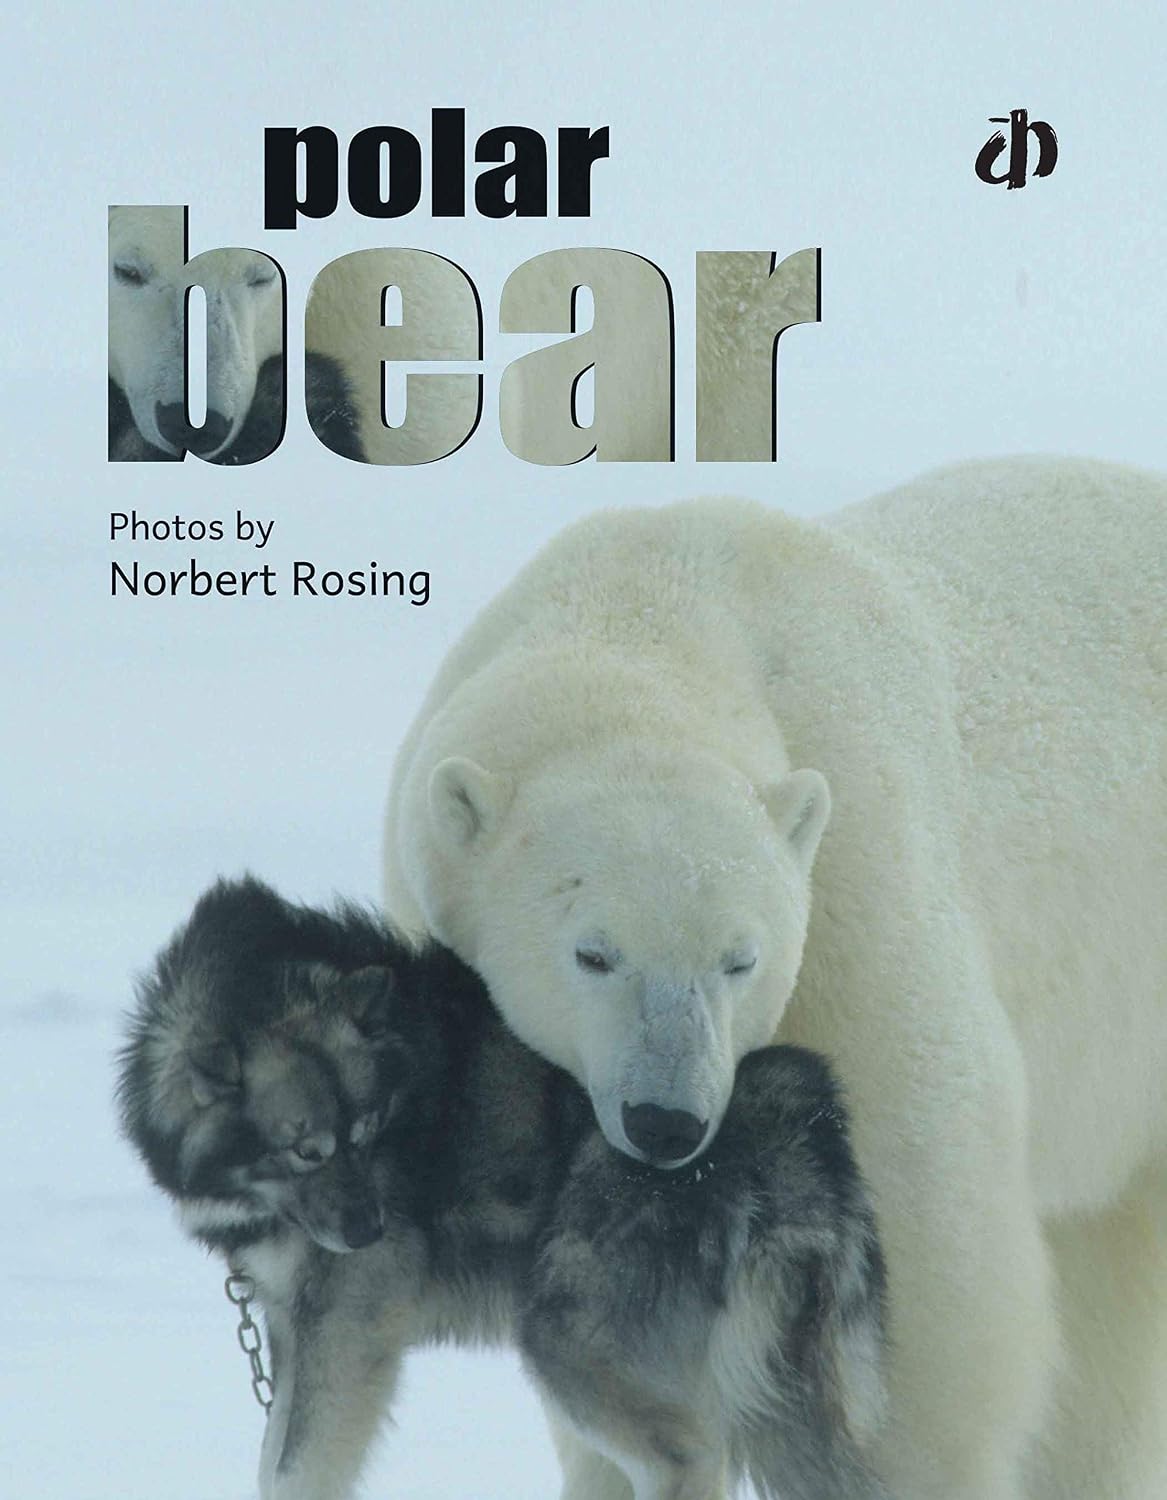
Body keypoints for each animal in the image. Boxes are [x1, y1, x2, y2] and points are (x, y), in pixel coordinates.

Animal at [384, 456, 1167, 1500]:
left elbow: (928, 1243)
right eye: (594, 952)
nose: (666, 1122)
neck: (651, 616)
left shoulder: (852, 882)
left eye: (738, 958)